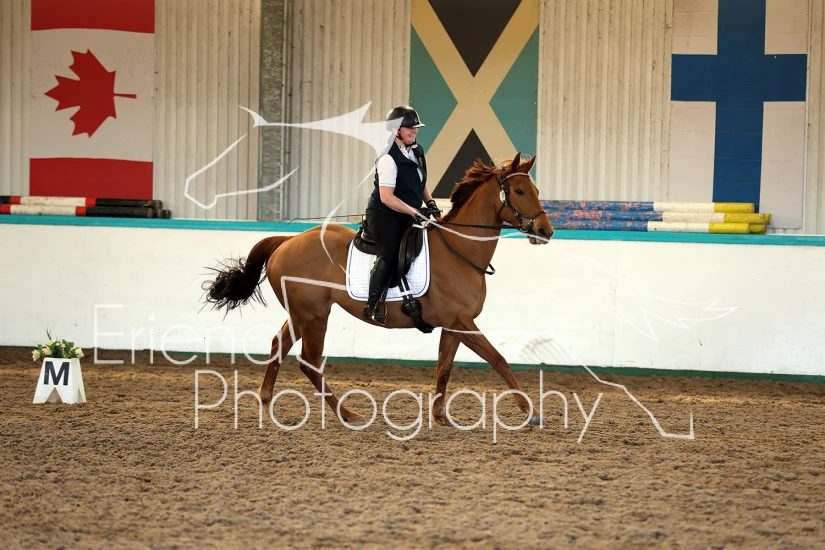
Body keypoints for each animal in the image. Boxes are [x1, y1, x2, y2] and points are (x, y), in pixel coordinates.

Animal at [204, 152, 555, 427]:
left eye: (536, 190)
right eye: (520, 190)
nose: (545, 231)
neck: (459, 249)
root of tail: (288, 241)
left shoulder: (455, 324)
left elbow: (444, 367)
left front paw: (440, 416)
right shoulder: (462, 322)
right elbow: (499, 359)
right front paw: (530, 412)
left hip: (300, 314)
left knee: (280, 345)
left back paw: (266, 403)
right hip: (315, 315)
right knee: (309, 361)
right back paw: (347, 414)